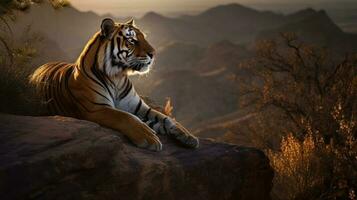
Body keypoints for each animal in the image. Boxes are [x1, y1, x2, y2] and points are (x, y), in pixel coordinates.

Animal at [29, 18, 197, 152]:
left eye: (144, 37)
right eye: (132, 40)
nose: (153, 53)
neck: (117, 77)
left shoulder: (139, 107)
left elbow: (166, 118)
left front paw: (189, 136)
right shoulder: (96, 108)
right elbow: (126, 117)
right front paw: (149, 138)